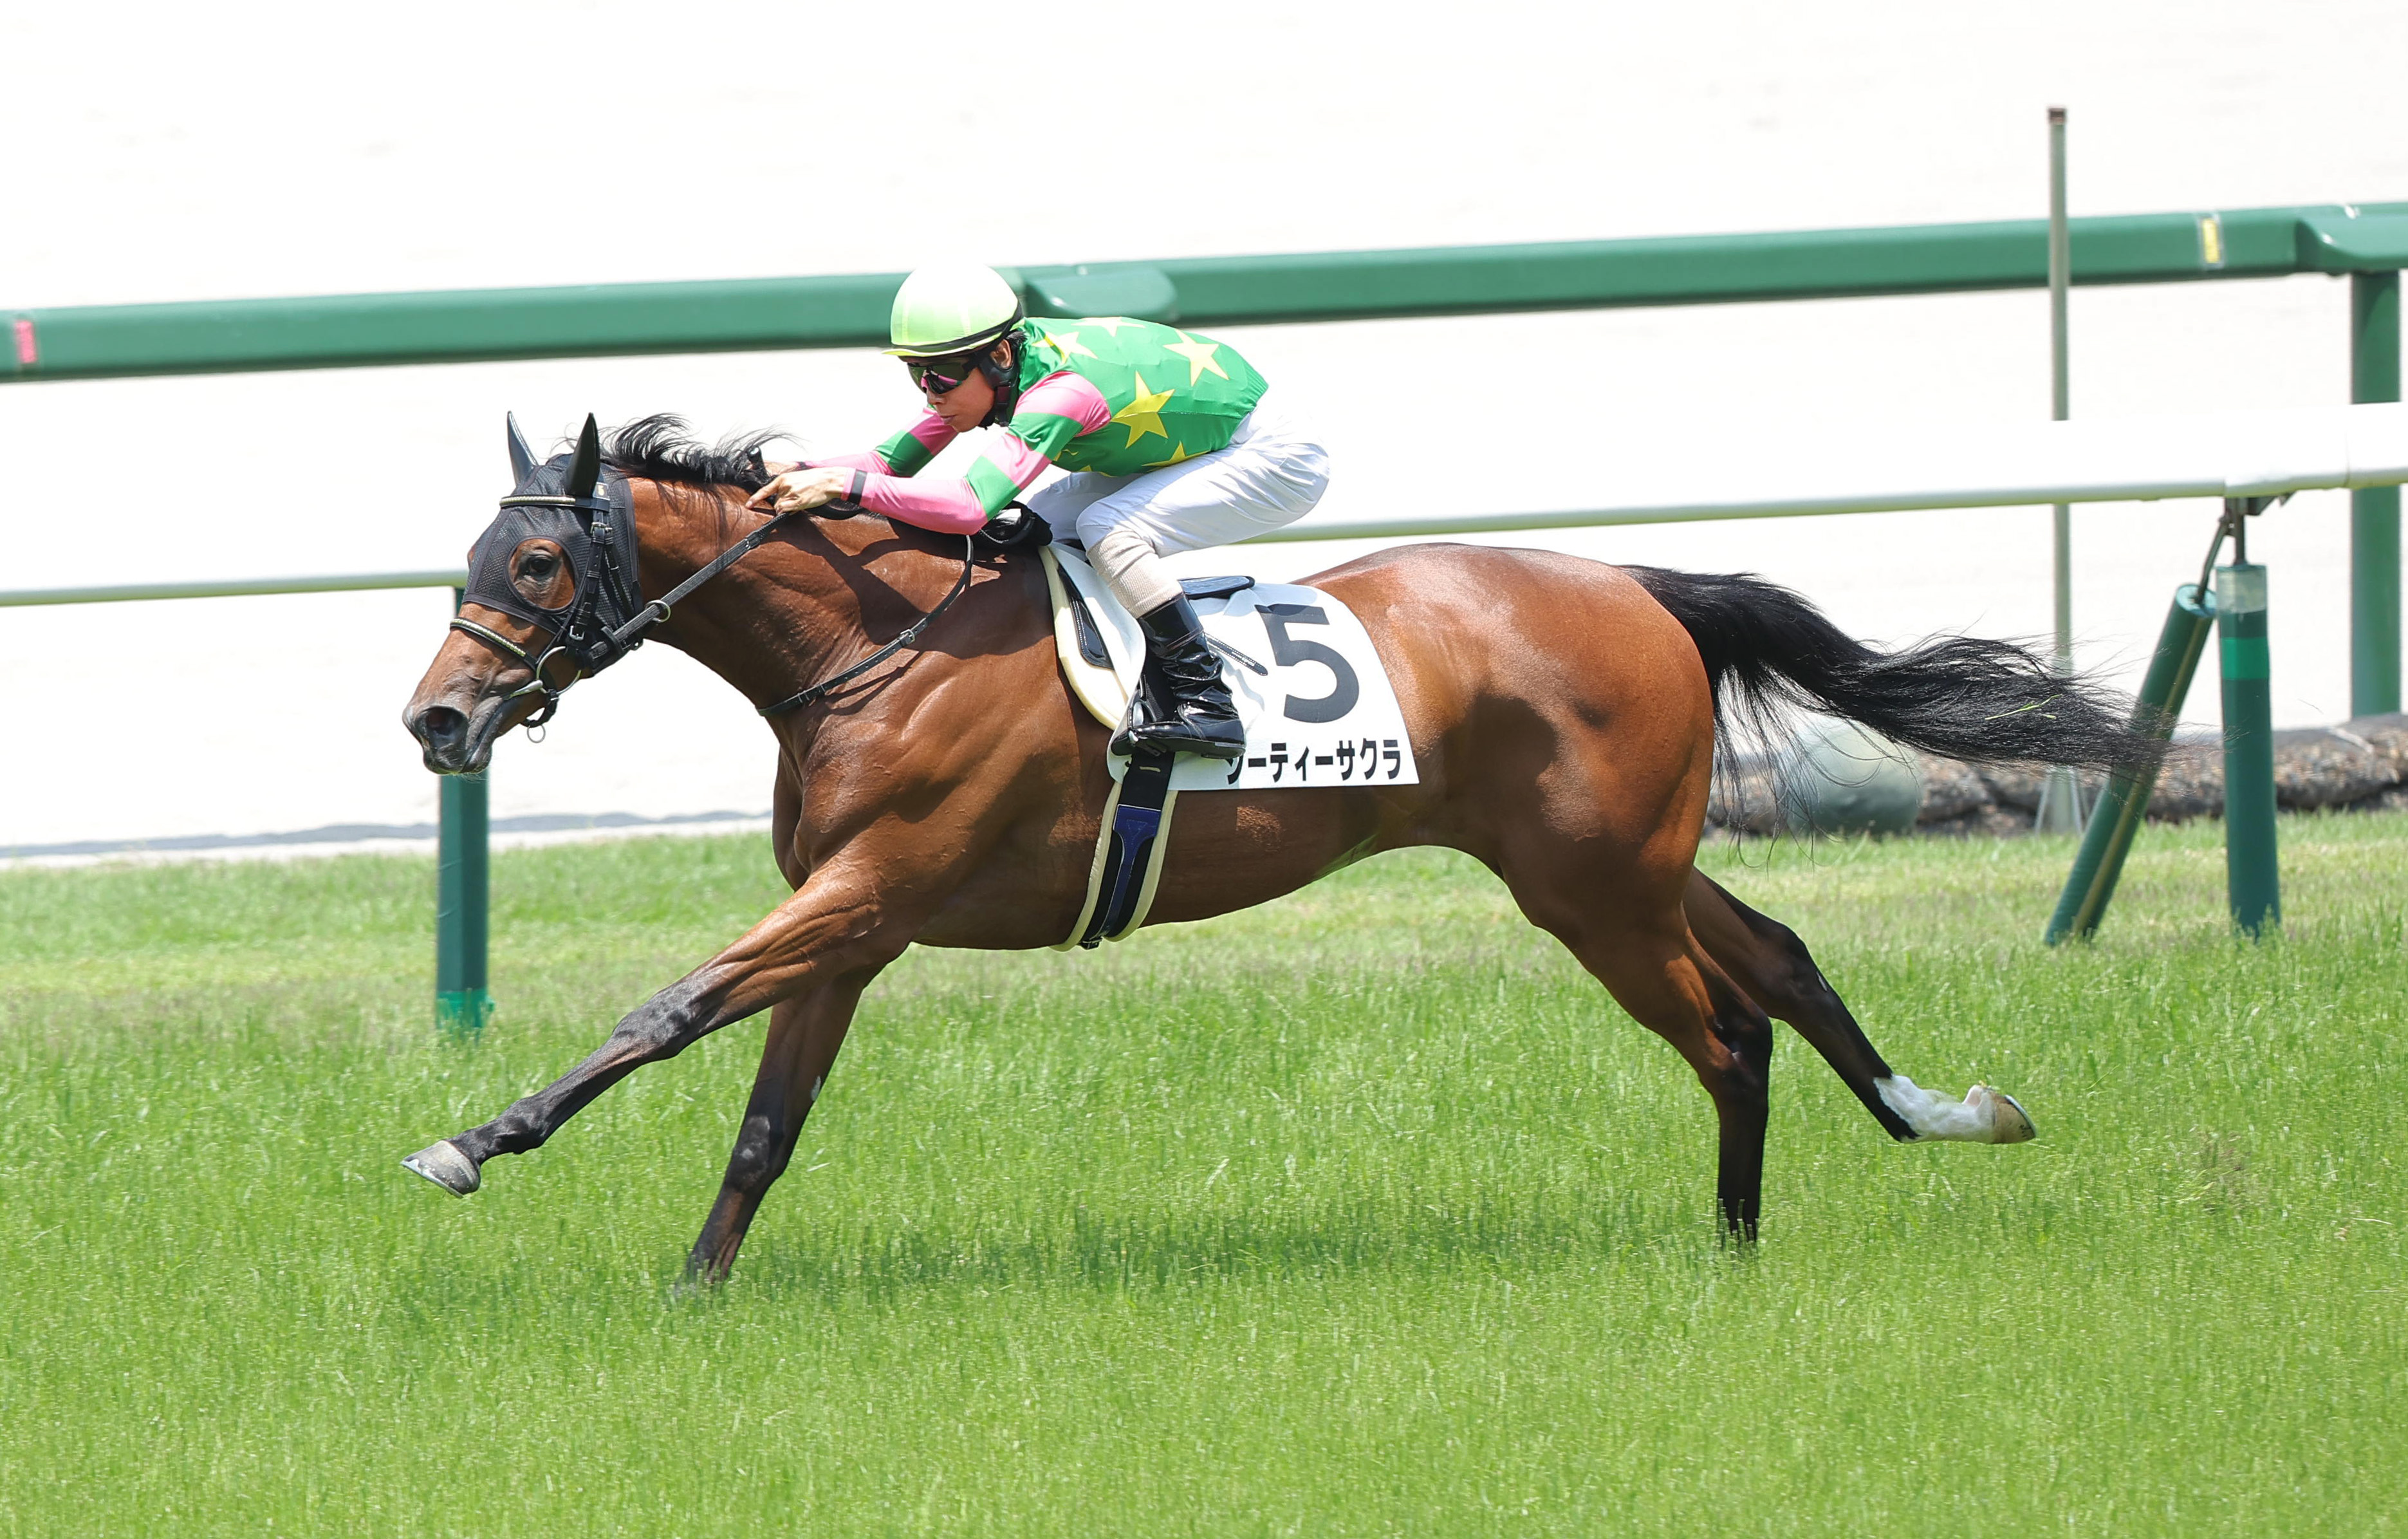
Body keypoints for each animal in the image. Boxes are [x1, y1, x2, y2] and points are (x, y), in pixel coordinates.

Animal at [401, 414, 2149, 1282]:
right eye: (470, 555)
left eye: (537, 562)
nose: (434, 719)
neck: (874, 644)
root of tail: (1642, 585)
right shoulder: (854, 921)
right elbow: (765, 1120)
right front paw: (698, 1290)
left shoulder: (869, 887)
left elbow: (668, 1008)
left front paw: (474, 1140)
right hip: (1624, 866)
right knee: (1778, 965)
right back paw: (1927, 1121)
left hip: (1588, 889)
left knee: (1723, 1029)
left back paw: (1730, 1251)